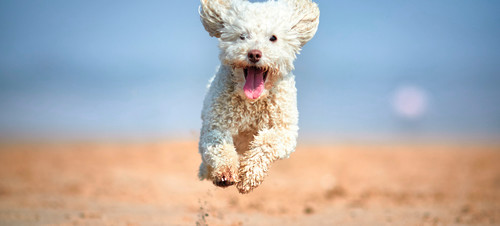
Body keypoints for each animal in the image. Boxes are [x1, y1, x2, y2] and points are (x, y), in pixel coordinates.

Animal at [196, 0, 318, 194]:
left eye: (273, 38)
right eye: (242, 36)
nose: (254, 54)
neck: (253, 102)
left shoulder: (285, 131)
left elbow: (266, 142)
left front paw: (249, 175)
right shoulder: (216, 126)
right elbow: (220, 146)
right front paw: (225, 172)